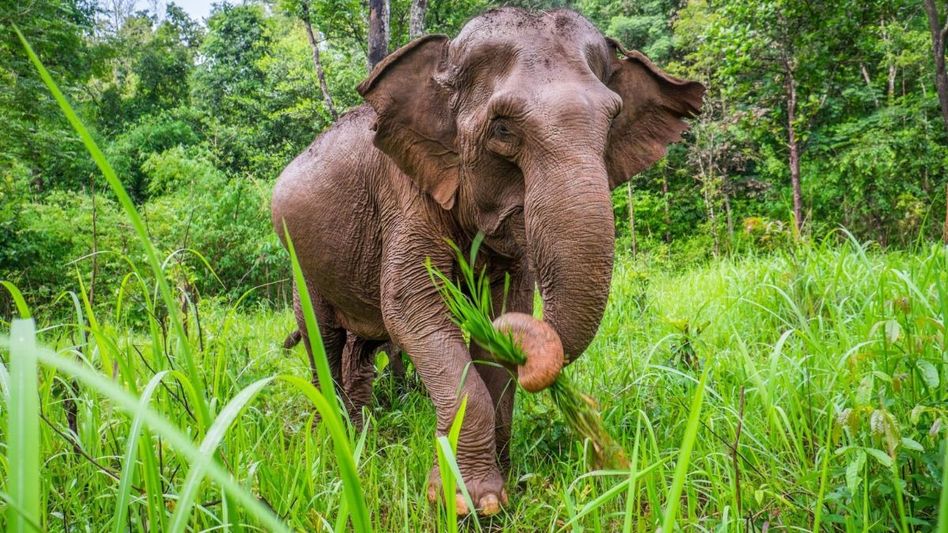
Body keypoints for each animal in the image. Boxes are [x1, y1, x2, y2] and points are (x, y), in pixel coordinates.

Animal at [271, 7, 703, 516]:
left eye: (612, 121)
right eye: (502, 128)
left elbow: (503, 312)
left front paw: (502, 487)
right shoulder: (404, 194)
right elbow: (411, 307)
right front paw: (464, 501)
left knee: (359, 348)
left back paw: (365, 436)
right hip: (301, 265)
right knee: (325, 340)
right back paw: (339, 439)